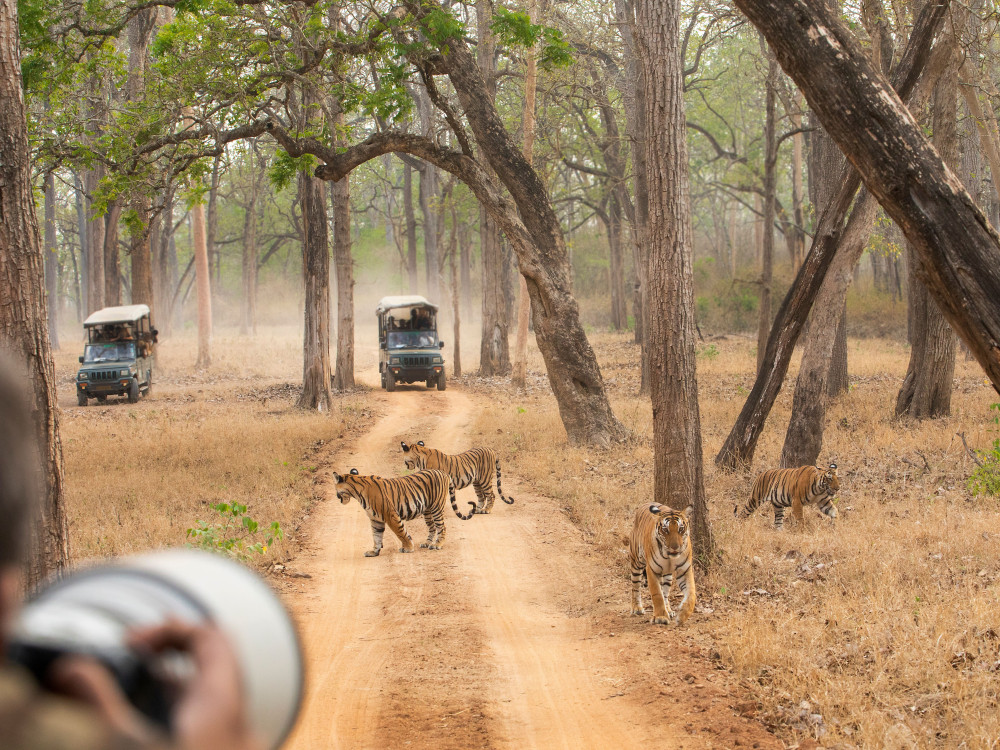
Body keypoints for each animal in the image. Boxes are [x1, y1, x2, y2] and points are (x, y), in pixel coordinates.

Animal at [332, 470, 476, 560]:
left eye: (336, 489)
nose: (337, 497)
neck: (356, 492)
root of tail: (443, 472)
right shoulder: (375, 519)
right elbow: (376, 536)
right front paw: (374, 552)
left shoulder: (390, 514)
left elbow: (400, 532)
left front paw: (408, 548)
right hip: (427, 510)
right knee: (432, 527)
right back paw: (426, 543)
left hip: (436, 507)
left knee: (442, 527)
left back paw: (437, 545)